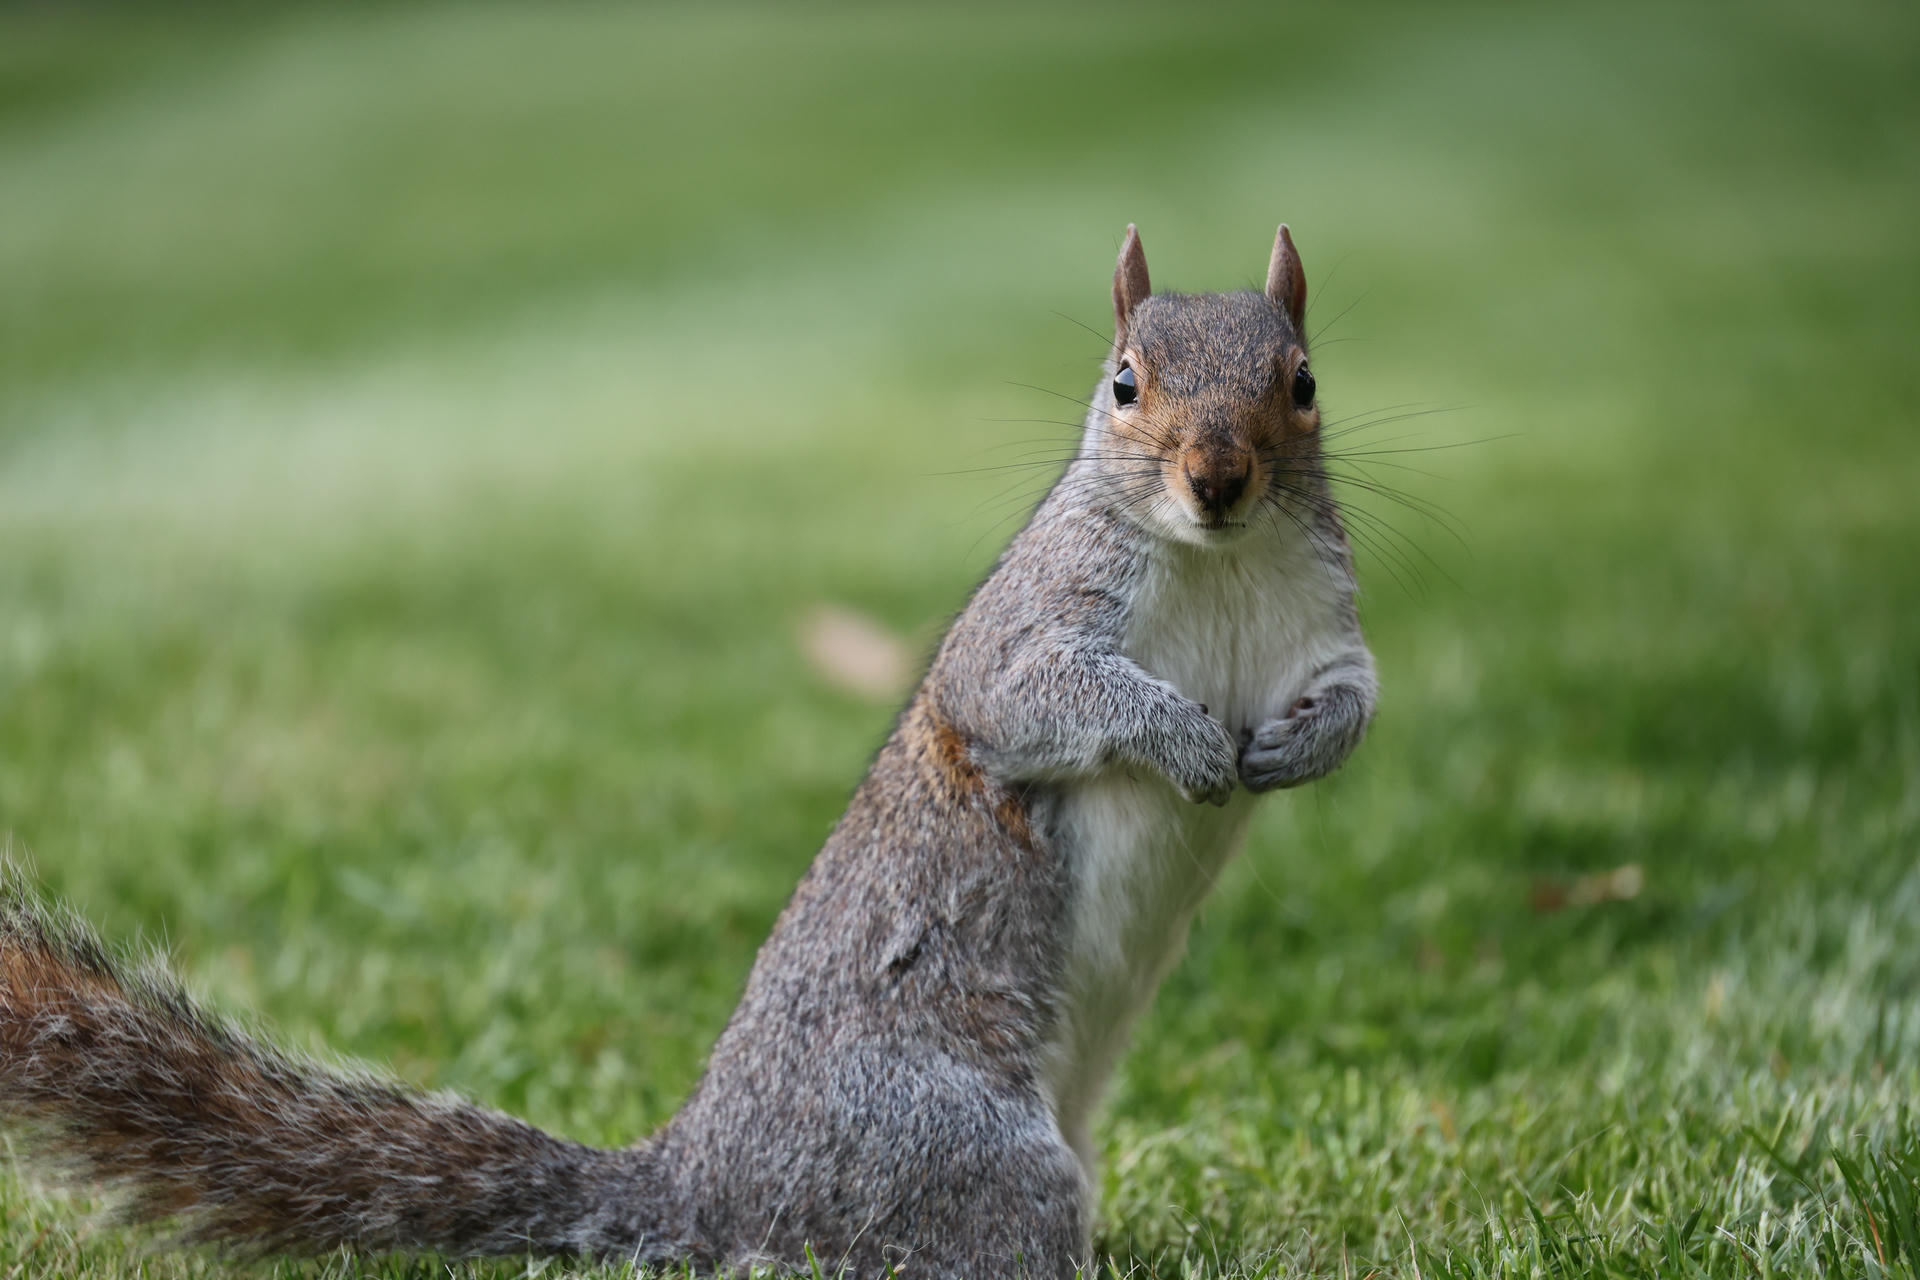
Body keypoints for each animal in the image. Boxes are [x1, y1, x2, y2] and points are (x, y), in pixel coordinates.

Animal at [0, 223, 1376, 1278]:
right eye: (1124, 382)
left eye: (1304, 379)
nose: (1218, 478)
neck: (1219, 562)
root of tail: (707, 1182)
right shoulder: (1035, 621)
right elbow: (1024, 693)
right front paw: (1185, 739)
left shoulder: (1323, 621)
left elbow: (1355, 694)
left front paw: (1299, 749)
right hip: (968, 1150)